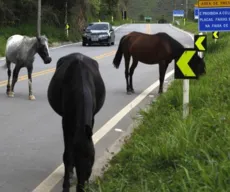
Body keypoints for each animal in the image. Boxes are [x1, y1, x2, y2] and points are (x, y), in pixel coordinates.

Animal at [47, 52, 107, 192]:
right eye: (76, 158)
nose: (80, 187)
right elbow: (66, 156)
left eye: (91, 160)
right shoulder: (66, 121)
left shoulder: (91, 118)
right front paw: (65, 186)